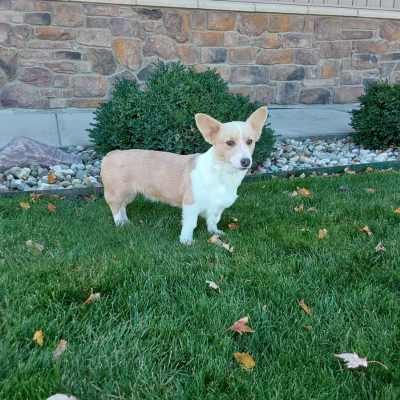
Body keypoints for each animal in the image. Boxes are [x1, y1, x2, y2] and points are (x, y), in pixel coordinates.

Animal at [101, 106, 268, 244]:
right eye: (229, 143)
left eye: (250, 141)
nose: (246, 161)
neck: (221, 173)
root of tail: (109, 155)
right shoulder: (190, 205)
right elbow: (190, 224)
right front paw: (186, 240)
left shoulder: (218, 206)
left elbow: (213, 221)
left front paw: (214, 233)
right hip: (117, 192)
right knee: (115, 208)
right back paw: (120, 224)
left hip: (130, 193)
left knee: (122, 207)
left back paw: (126, 222)